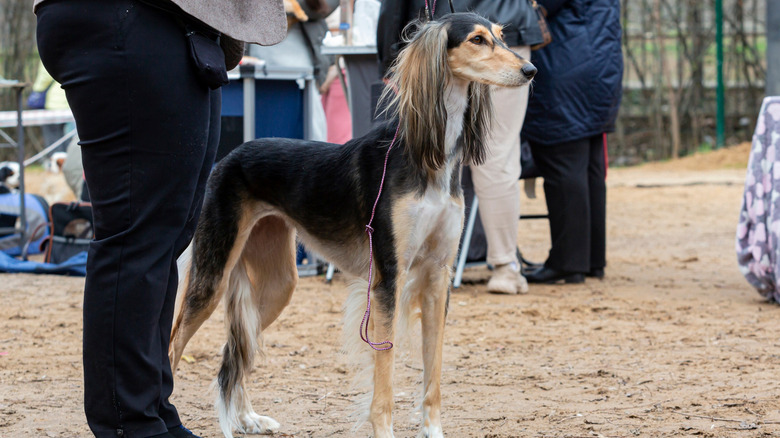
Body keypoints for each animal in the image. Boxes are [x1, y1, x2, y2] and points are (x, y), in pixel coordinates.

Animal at [171, 12, 536, 436]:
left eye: (502, 36)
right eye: (477, 40)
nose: (530, 70)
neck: (428, 156)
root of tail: (229, 156)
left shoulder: (437, 276)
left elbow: (433, 374)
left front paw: (432, 430)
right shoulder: (388, 278)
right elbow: (385, 374)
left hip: (278, 284)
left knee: (236, 348)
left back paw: (247, 417)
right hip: (212, 276)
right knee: (173, 346)